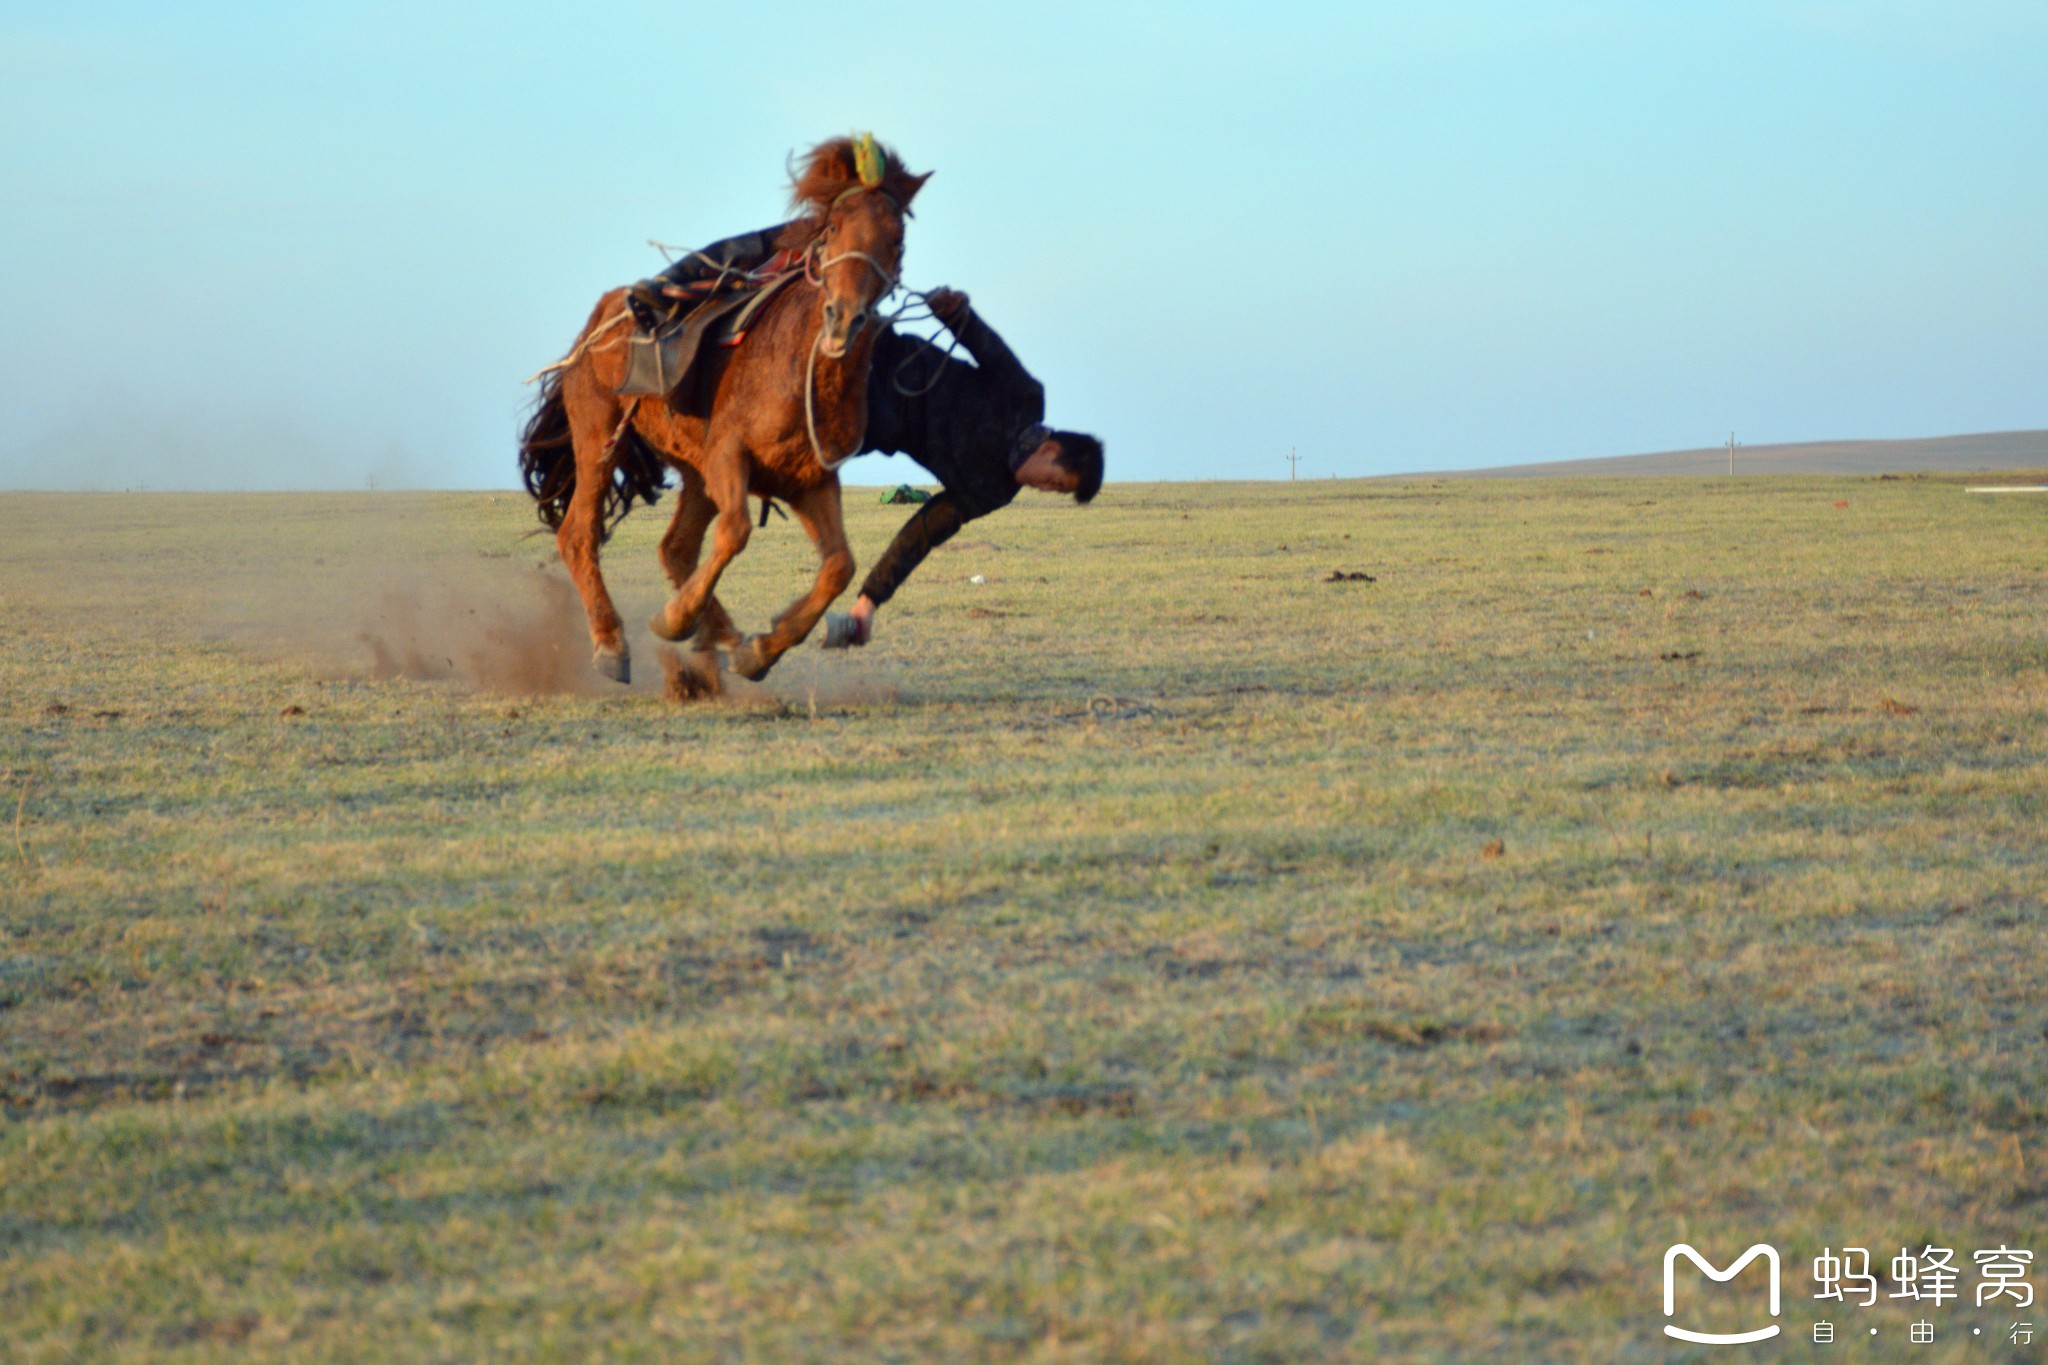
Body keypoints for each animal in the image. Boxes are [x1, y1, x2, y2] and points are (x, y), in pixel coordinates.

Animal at [520, 139, 929, 683]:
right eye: (833, 229)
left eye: (897, 240)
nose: (843, 318)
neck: (799, 365)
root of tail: (599, 320)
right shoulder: (729, 456)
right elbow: (736, 533)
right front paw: (674, 620)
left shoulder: (809, 481)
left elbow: (839, 566)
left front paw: (759, 651)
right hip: (599, 438)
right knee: (579, 535)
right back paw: (613, 643)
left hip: (693, 468)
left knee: (675, 547)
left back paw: (721, 638)